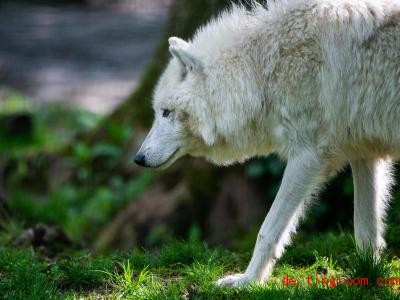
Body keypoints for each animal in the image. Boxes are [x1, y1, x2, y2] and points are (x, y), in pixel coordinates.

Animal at [134, 0, 400, 288]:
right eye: (157, 112)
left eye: (166, 112)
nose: (138, 158)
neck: (262, 69)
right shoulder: (364, 154)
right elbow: (365, 229)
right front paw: (368, 275)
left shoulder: (308, 157)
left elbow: (267, 230)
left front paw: (247, 281)